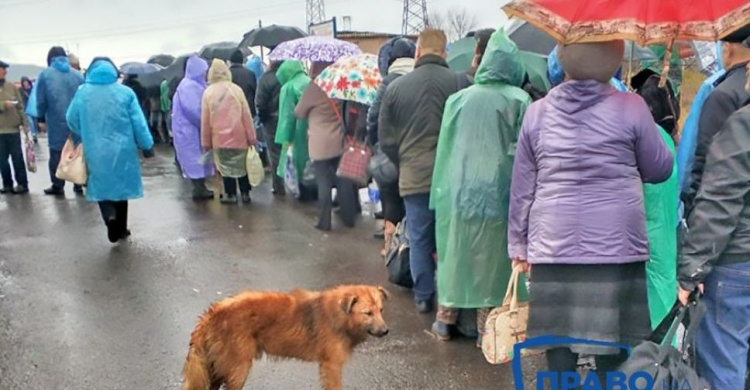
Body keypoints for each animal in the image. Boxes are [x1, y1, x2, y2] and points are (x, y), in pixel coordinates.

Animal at [182, 284, 390, 390]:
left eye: (381, 310)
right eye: (367, 313)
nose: (386, 331)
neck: (340, 315)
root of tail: (212, 313)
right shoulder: (331, 365)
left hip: (216, 367)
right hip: (238, 369)